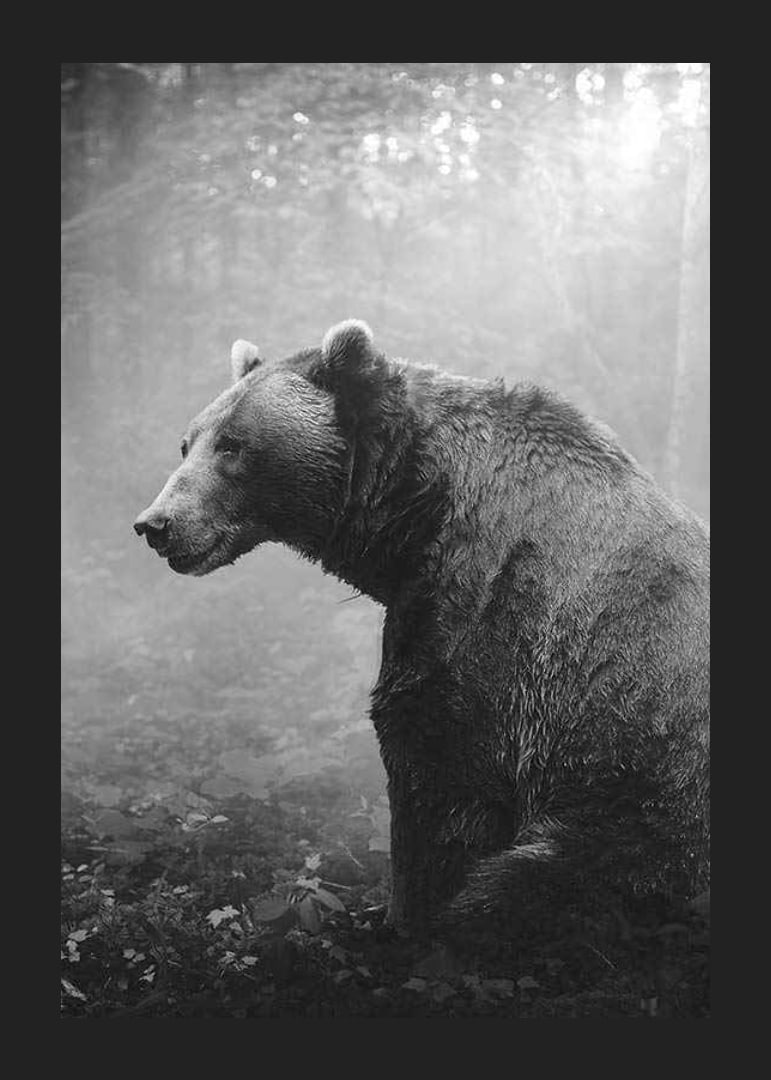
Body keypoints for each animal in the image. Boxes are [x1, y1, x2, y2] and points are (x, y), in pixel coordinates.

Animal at [134, 320, 709, 941]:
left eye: (233, 445)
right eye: (188, 442)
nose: (156, 524)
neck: (415, 515)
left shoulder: (493, 620)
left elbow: (439, 776)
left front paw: (401, 919)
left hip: (646, 816)